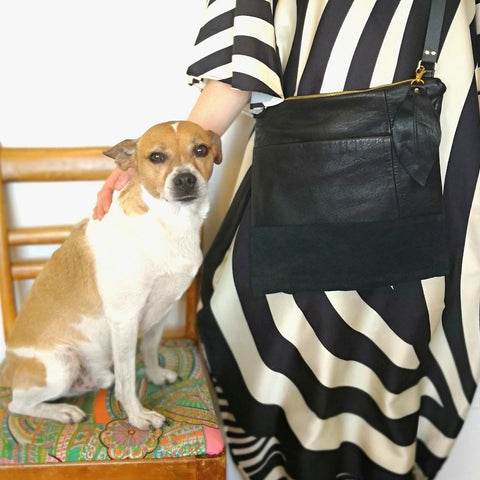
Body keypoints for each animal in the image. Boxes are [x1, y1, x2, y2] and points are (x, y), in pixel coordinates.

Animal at [0, 121, 221, 432]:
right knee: (17, 405)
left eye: (201, 149)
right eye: (156, 157)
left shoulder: (161, 312)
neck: (170, 223)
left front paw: (155, 375)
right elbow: (128, 381)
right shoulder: (125, 320)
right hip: (62, 364)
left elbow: (150, 349)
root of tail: (9, 371)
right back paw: (62, 411)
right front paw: (138, 416)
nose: (186, 180)